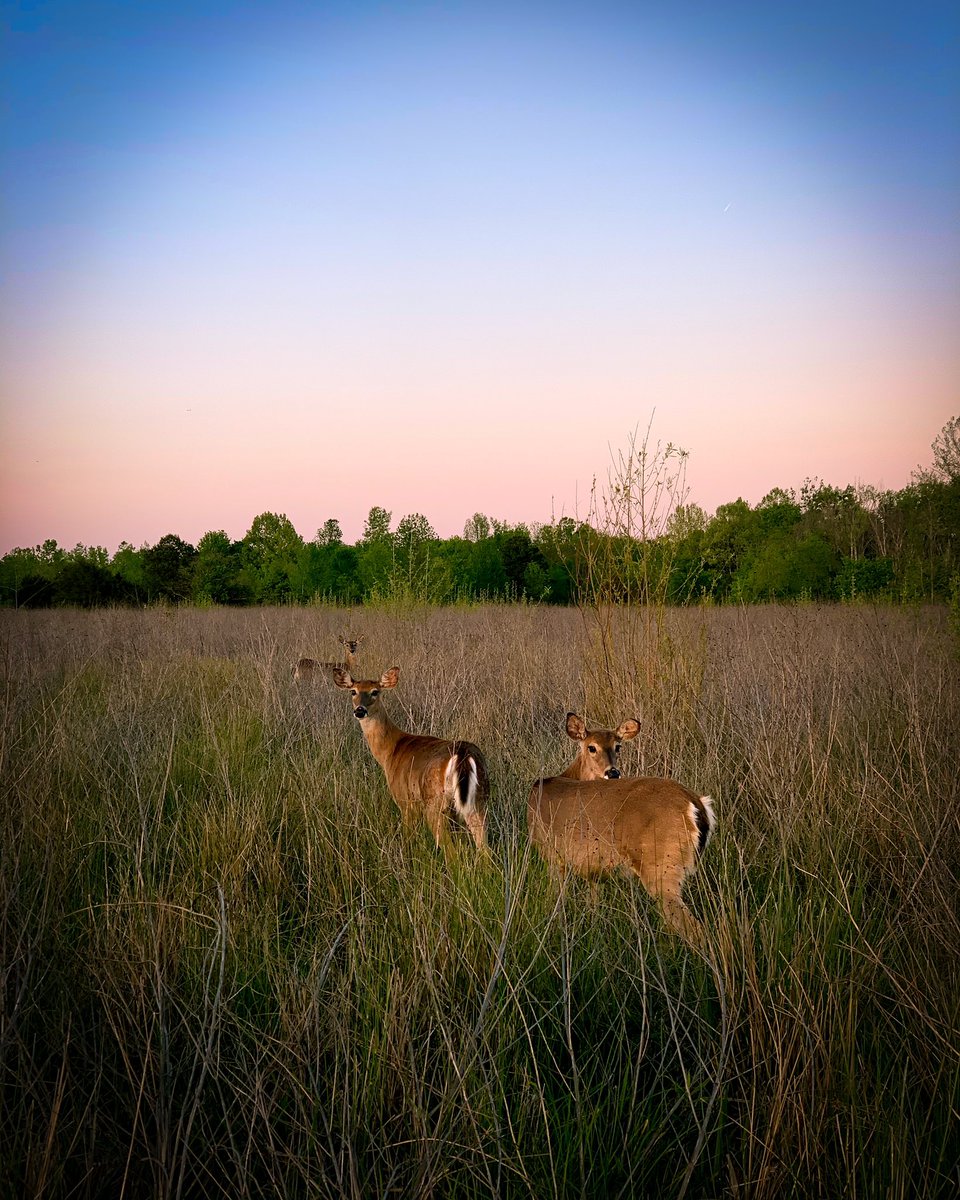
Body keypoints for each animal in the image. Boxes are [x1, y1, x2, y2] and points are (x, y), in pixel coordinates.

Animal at [336, 667, 487, 854]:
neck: (391, 750)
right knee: (484, 849)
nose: (359, 710)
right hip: (478, 800)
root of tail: (462, 755)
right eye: (353, 691)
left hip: (435, 803)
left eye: (375, 691)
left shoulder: (405, 800)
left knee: (451, 852)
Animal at [528, 710, 715, 936]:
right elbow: (593, 903)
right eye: (592, 747)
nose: (613, 772)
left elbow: (556, 900)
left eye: (618, 746)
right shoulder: (592, 869)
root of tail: (695, 803)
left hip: (661, 864)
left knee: (695, 929)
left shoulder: (553, 855)